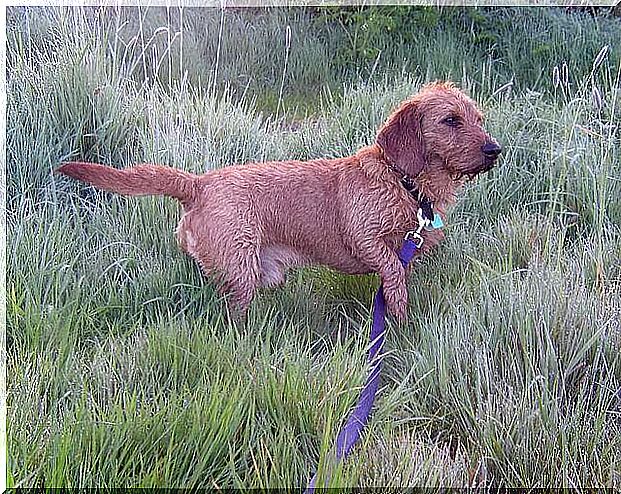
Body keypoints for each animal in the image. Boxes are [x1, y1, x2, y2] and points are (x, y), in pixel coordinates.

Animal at [55, 80, 498, 320]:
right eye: (450, 120)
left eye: (479, 119)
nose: (495, 150)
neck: (403, 181)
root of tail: (199, 183)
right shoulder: (367, 240)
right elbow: (393, 276)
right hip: (241, 270)